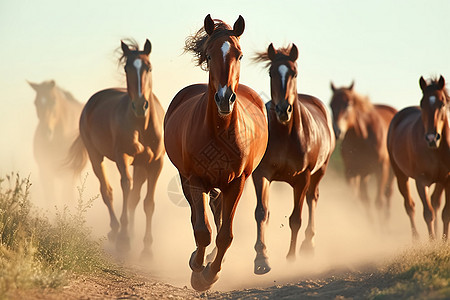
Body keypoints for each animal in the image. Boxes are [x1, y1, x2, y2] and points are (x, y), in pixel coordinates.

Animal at [67, 39, 165, 255]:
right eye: (127, 68)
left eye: (149, 67)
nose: (140, 105)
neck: (142, 125)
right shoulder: (123, 156)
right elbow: (125, 187)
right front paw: (124, 239)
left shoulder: (156, 163)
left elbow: (148, 202)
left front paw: (147, 249)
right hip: (96, 156)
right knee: (107, 191)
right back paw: (115, 230)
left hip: (141, 165)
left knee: (135, 196)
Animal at [165, 14, 270, 290]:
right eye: (210, 56)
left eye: (239, 55)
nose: (225, 98)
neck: (219, 133)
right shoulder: (195, 179)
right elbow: (202, 230)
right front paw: (198, 271)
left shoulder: (237, 182)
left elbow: (225, 236)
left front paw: (211, 274)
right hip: (186, 179)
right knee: (200, 216)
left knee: (219, 213)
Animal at [251, 43, 336, 276]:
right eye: (271, 73)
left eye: (294, 73)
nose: (283, 109)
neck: (285, 134)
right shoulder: (261, 175)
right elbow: (262, 213)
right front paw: (261, 259)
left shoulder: (301, 178)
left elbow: (296, 218)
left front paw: (291, 257)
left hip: (319, 172)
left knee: (312, 199)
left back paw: (308, 245)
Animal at [328, 82, 396, 220]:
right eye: (331, 105)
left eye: (348, 104)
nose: (337, 131)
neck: (362, 138)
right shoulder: (351, 172)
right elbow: (358, 200)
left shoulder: (381, 169)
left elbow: (378, 201)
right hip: (364, 174)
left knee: (388, 194)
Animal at [388, 76, 448, 240]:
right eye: (422, 103)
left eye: (443, 103)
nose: (431, 138)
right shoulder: (421, 181)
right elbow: (428, 213)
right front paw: (432, 241)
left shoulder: (447, 180)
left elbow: (445, 213)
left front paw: (444, 240)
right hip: (401, 176)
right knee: (410, 206)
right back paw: (416, 239)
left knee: (435, 202)